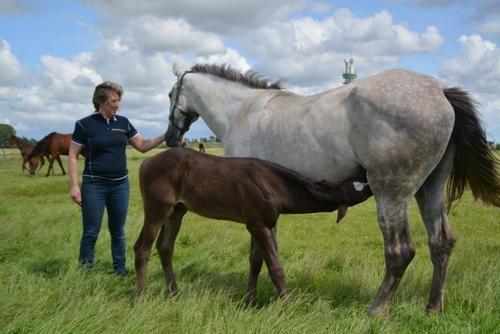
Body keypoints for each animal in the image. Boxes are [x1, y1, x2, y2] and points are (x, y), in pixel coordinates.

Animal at [133, 147, 372, 302]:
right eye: (359, 188)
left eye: (358, 180)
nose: (368, 176)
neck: (274, 184)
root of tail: (146, 163)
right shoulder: (257, 225)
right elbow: (275, 266)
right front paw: (285, 304)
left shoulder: (260, 223)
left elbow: (256, 261)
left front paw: (250, 301)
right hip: (157, 209)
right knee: (143, 249)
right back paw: (142, 296)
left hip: (176, 211)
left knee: (164, 248)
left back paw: (174, 293)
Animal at [165, 64, 500, 314]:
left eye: (170, 94)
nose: (170, 138)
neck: (243, 110)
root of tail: (440, 91)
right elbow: (267, 254)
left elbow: (258, 255)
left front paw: (252, 300)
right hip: (429, 190)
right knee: (440, 243)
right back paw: (433, 308)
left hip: (391, 195)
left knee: (400, 252)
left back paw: (376, 310)